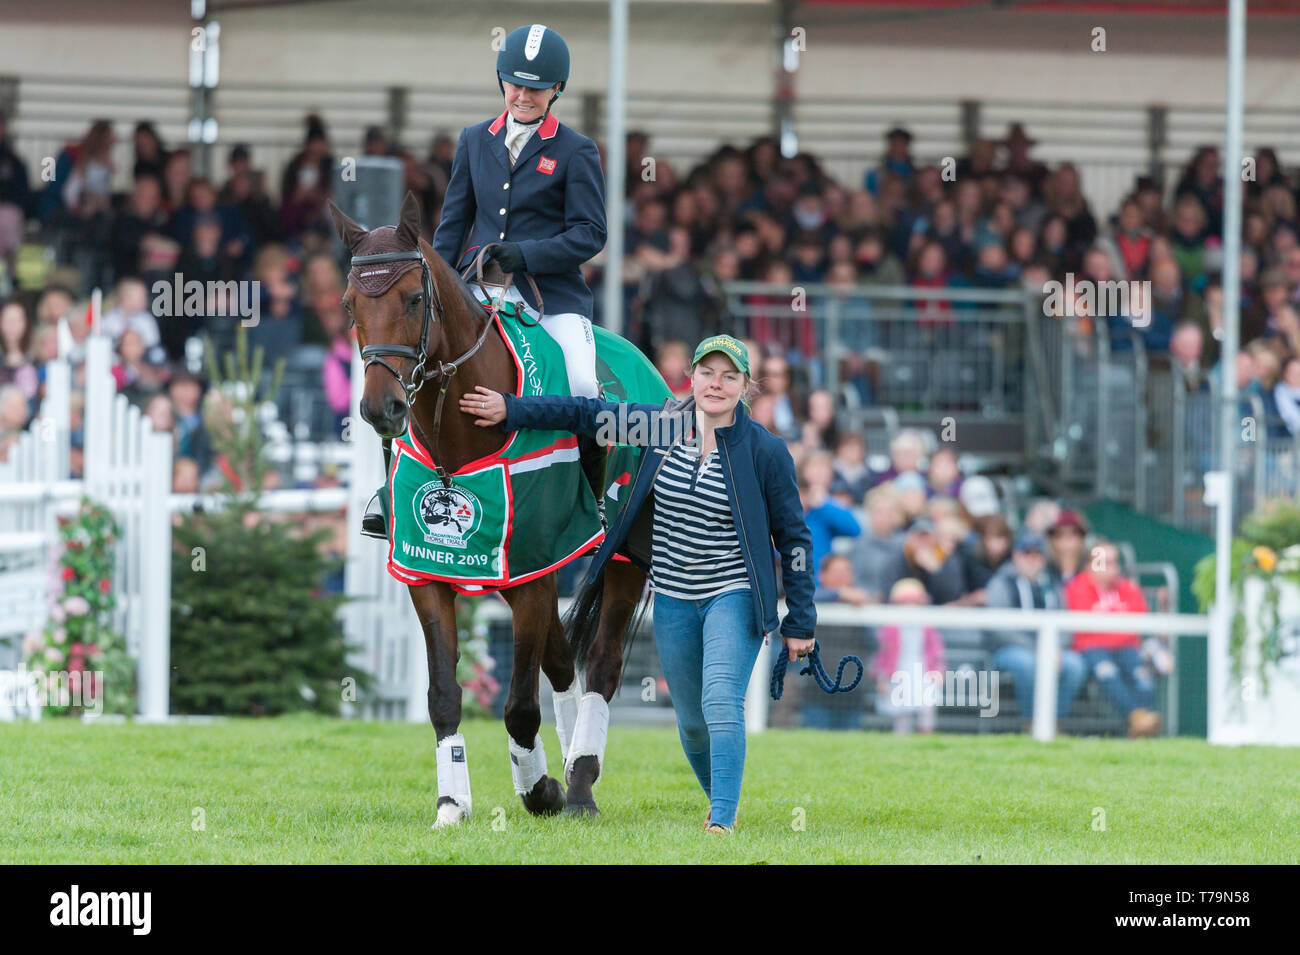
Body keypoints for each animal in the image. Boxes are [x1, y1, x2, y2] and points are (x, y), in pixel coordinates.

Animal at [327, 191, 647, 826]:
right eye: (350, 303)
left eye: (414, 298)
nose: (381, 409)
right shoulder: (431, 573)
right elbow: (443, 697)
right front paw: (453, 802)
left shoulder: (531, 574)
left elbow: (520, 703)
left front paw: (540, 790)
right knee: (562, 662)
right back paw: (568, 766)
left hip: (622, 558)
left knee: (599, 666)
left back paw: (580, 784)